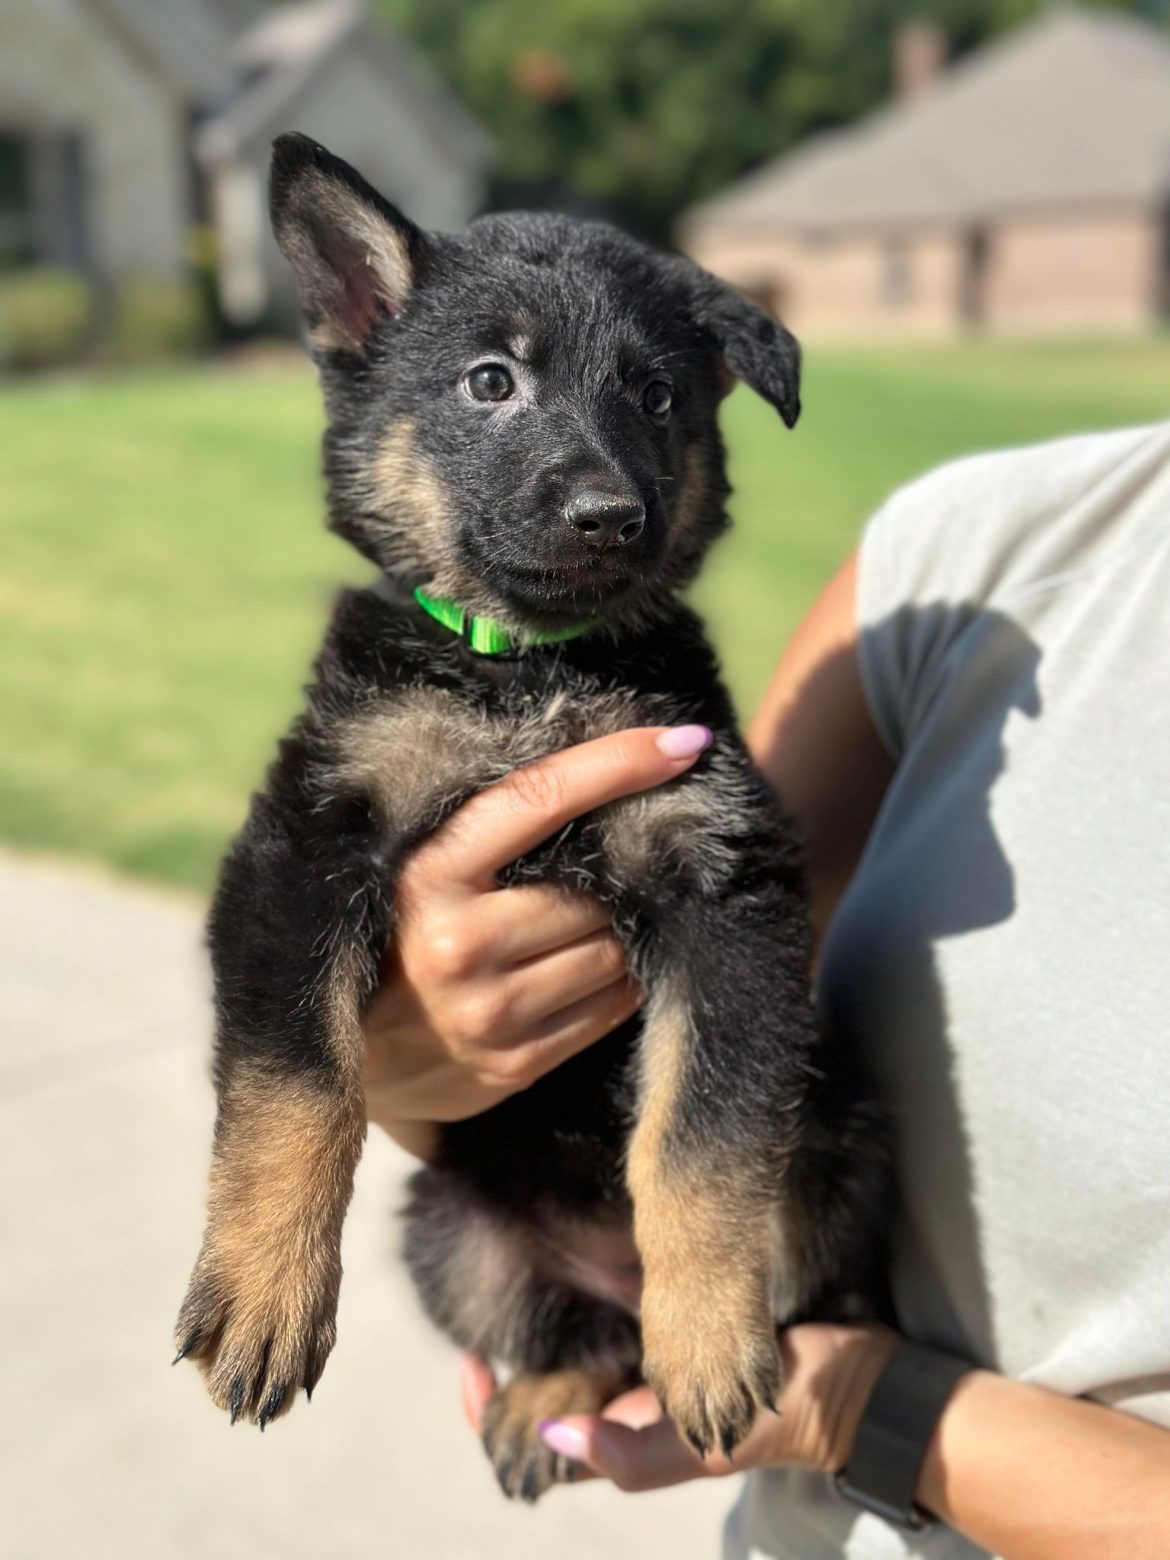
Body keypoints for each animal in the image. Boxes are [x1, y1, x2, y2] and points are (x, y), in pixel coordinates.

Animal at [176, 134, 886, 1497]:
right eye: (491, 381)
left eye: (657, 398)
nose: (611, 514)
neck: (530, 676)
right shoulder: (306, 840)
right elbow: (297, 1082)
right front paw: (261, 1294)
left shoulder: (725, 881)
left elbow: (702, 1134)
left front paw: (707, 1337)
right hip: (451, 1237)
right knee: (578, 1331)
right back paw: (547, 1396)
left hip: (832, 1136)